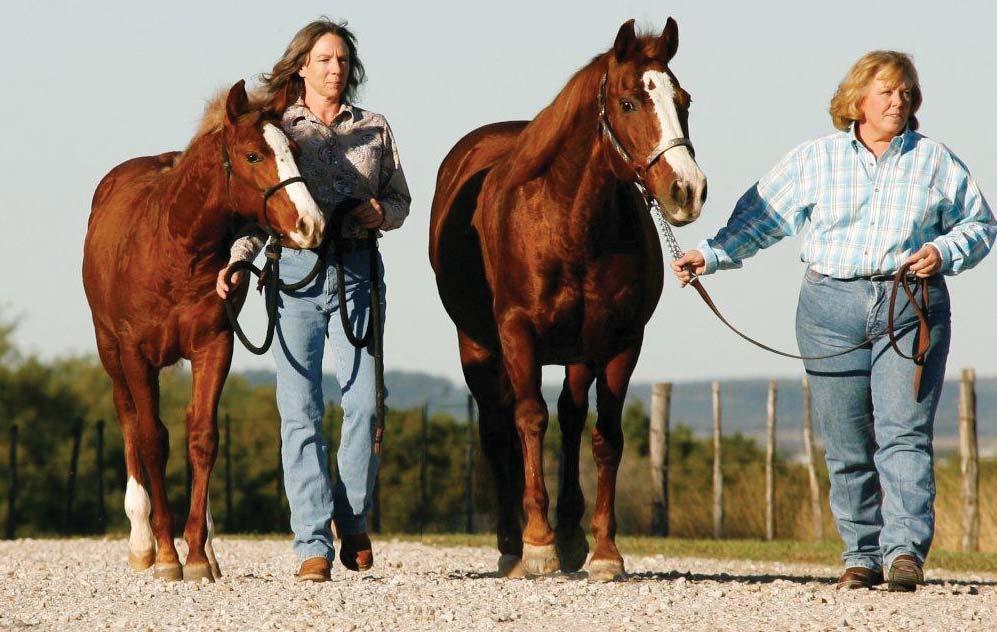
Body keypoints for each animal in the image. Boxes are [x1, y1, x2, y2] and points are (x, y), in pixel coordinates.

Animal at [84, 80, 322, 584]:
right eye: (253, 155)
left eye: (293, 150)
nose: (311, 224)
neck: (174, 248)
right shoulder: (136, 353)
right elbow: (152, 438)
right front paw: (166, 556)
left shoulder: (216, 346)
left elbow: (203, 437)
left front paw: (195, 554)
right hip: (110, 351)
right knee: (128, 420)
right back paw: (142, 542)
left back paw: (206, 549)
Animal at [432, 18, 704, 584]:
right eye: (628, 102)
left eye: (683, 100)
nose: (687, 190)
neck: (567, 221)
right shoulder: (518, 335)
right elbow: (531, 420)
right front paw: (538, 545)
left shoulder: (620, 343)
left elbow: (605, 437)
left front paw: (605, 552)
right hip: (478, 348)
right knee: (499, 429)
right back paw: (512, 544)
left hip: (579, 353)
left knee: (573, 418)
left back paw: (573, 536)